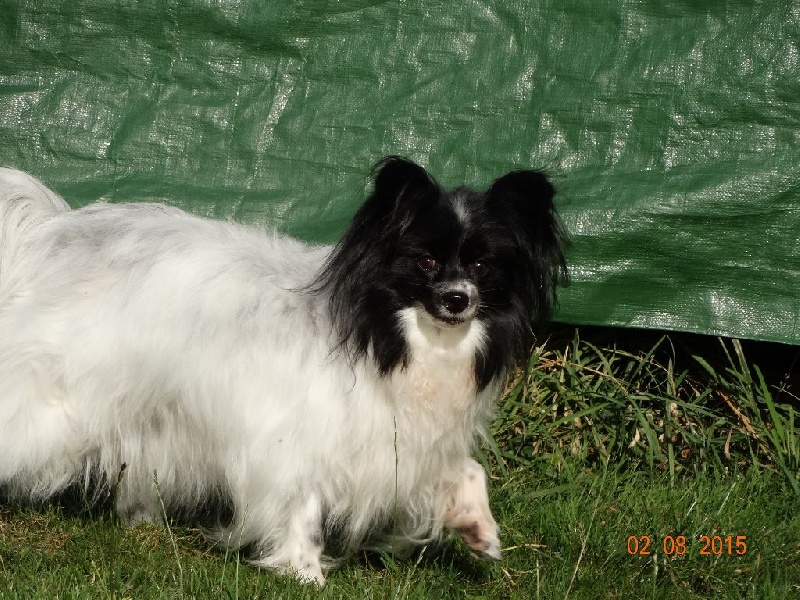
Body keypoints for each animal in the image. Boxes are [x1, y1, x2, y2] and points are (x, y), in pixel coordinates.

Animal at [0, 157, 568, 584]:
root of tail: (49, 236)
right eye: (425, 262)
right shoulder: (294, 436)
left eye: (482, 267)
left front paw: (478, 529)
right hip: (52, 406)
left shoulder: (405, 437)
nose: (457, 300)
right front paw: (304, 572)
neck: (388, 335)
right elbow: (301, 505)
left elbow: (466, 470)